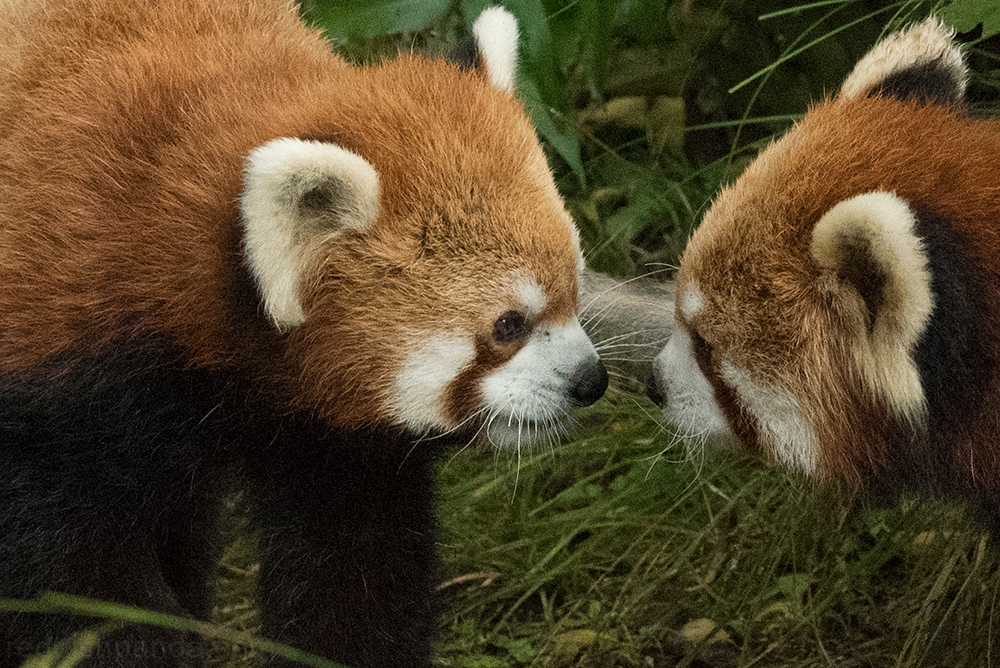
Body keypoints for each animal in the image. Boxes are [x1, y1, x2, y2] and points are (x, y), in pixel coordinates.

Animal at [0, 2, 608, 664]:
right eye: (508, 325)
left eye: (577, 286)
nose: (590, 380)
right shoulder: (56, 371)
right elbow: (79, 590)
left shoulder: (327, 434)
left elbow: (353, 573)